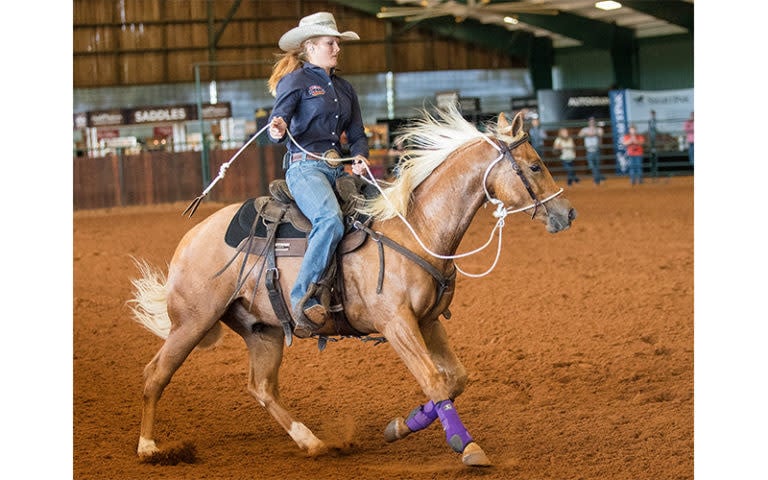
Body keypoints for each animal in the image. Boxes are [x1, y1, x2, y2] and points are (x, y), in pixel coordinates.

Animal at [129, 104, 572, 464]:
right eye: (535, 165)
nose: (567, 213)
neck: (416, 229)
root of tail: (189, 239)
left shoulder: (427, 321)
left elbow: (454, 379)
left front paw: (401, 426)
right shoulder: (396, 324)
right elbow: (434, 380)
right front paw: (467, 446)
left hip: (262, 330)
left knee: (262, 387)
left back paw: (312, 442)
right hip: (194, 321)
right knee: (155, 373)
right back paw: (149, 447)